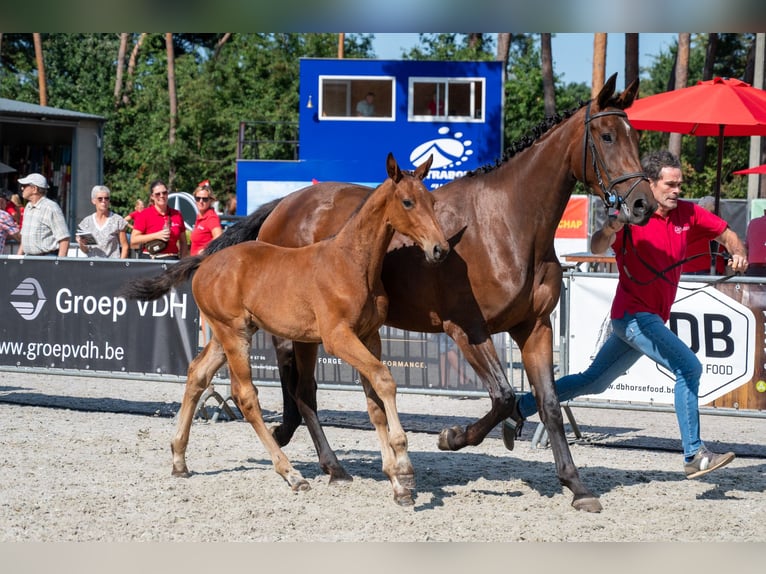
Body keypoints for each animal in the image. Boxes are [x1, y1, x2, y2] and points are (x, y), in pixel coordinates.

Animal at [122, 153, 449, 506]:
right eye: (407, 202)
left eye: (432, 201)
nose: (440, 249)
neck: (352, 262)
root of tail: (205, 261)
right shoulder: (338, 338)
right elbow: (385, 379)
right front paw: (403, 468)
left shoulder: (368, 337)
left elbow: (374, 402)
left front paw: (398, 483)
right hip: (235, 334)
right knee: (245, 395)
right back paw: (291, 473)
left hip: (230, 334)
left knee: (197, 373)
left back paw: (179, 459)